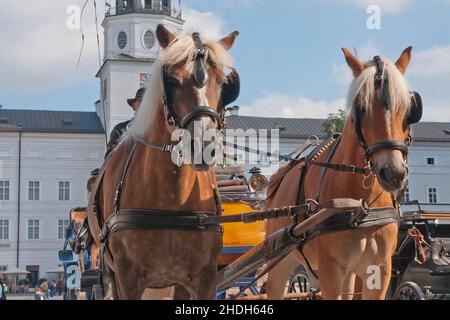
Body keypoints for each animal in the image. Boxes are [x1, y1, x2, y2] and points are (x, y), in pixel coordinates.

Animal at [84, 25, 239, 300]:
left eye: (224, 83)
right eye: (172, 81)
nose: (203, 146)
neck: (172, 198)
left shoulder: (203, 278)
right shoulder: (127, 277)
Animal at [264, 47, 422, 300]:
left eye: (410, 109)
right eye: (361, 107)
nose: (393, 173)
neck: (362, 204)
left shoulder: (379, 270)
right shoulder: (331, 271)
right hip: (280, 263)